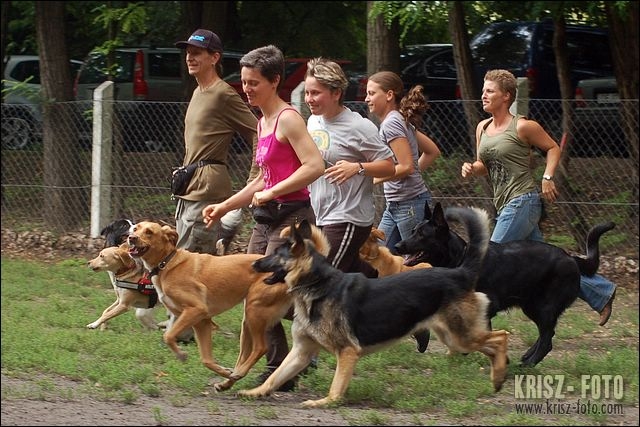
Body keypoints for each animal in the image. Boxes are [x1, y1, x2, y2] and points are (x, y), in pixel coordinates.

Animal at [126, 220, 292, 391]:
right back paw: (228, 381)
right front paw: (224, 371)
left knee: (261, 348)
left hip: (254, 311)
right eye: (135, 229)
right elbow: (206, 360)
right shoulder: (202, 322)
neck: (166, 263)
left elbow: (168, 336)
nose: (131, 238)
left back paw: (239, 373)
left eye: (149, 232)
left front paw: (181, 355)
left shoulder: (196, 310)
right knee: (244, 357)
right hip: (248, 321)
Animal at [239, 208, 509, 408]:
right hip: (453, 339)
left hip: (460, 337)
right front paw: (255, 391)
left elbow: (336, 388)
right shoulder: (300, 353)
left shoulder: (347, 352)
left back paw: (499, 376)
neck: (316, 284)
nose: (252, 263)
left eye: (276, 253)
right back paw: (498, 375)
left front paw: (324, 402)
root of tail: (460, 272)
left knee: (501, 336)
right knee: (492, 343)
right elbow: (275, 376)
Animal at [395, 201, 616, 366]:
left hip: (543, 307)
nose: (397, 246)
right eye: (412, 230)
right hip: (532, 306)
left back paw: (529, 363)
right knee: (547, 334)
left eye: (422, 235)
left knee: (547, 338)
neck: (460, 259)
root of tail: (571, 258)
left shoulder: (486, 309)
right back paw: (527, 356)